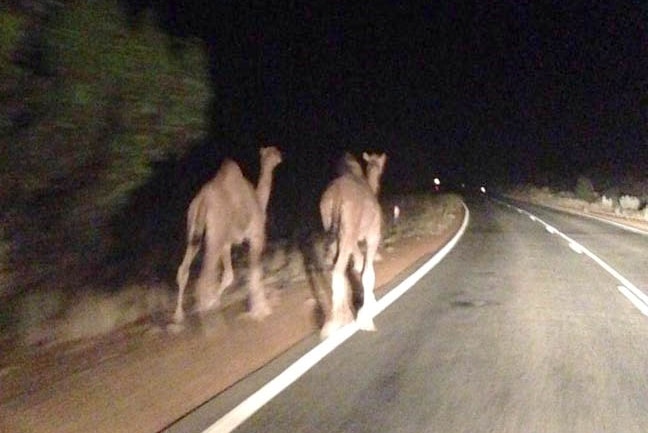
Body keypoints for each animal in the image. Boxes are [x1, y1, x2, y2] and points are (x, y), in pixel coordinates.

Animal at [173, 147, 282, 322]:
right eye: (273, 152)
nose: (280, 156)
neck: (258, 200)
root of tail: (203, 199)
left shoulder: (226, 244)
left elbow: (229, 275)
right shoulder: (256, 235)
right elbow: (255, 271)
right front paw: (261, 310)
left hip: (194, 231)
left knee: (184, 270)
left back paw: (178, 315)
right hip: (215, 234)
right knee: (204, 281)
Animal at [318, 152, 384, 338]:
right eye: (380, 164)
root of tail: (336, 196)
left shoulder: (352, 240)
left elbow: (358, 268)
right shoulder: (372, 236)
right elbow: (367, 272)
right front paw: (367, 315)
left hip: (333, 230)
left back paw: (335, 320)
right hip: (348, 234)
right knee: (337, 271)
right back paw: (336, 322)